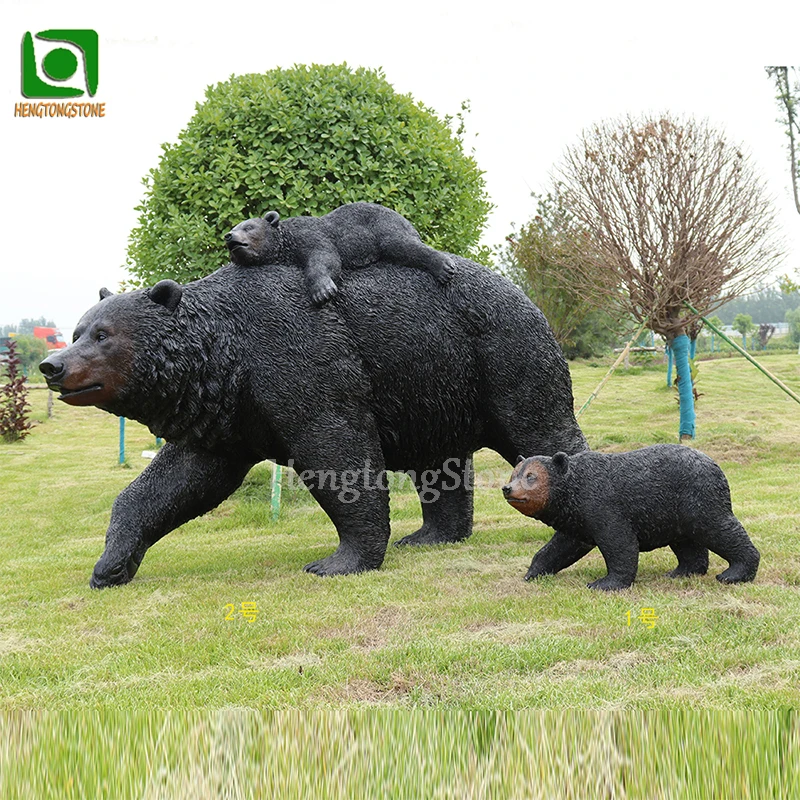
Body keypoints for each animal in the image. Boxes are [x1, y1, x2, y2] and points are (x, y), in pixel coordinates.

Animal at [39, 256, 588, 588]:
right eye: (77, 330)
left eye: (103, 335)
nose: (51, 365)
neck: (224, 357)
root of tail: (522, 294)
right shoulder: (226, 418)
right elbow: (177, 481)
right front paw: (109, 566)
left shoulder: (300, 355)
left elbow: (335, 450)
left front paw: (337, 562)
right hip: (435, 385)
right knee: (439, 464)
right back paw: (430, 536)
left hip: (503, 356)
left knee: (540, 428)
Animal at [223, 202, 455, 305]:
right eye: (235, 227)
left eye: (248, 227)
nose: (229, 236)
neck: (285, 242)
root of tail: (406, 220)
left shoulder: (309, 234)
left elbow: (326, 257)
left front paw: (322, 290)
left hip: (383, 225)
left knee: (401, 244)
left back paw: (443, 266)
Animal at [501, 445, 760, 591]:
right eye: (514, 474)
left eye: (531, 476)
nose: (507, 488)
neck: (573, 492)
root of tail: (715, 464)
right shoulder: (577, 518)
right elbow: (562, 545)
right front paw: (533, 572)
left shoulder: (602, 504)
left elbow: (619, 542)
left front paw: (604, 583)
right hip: (675, 512)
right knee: (686, 542)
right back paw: (681, 571)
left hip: (697, 496)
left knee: (718, 527)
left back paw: (735, 573)